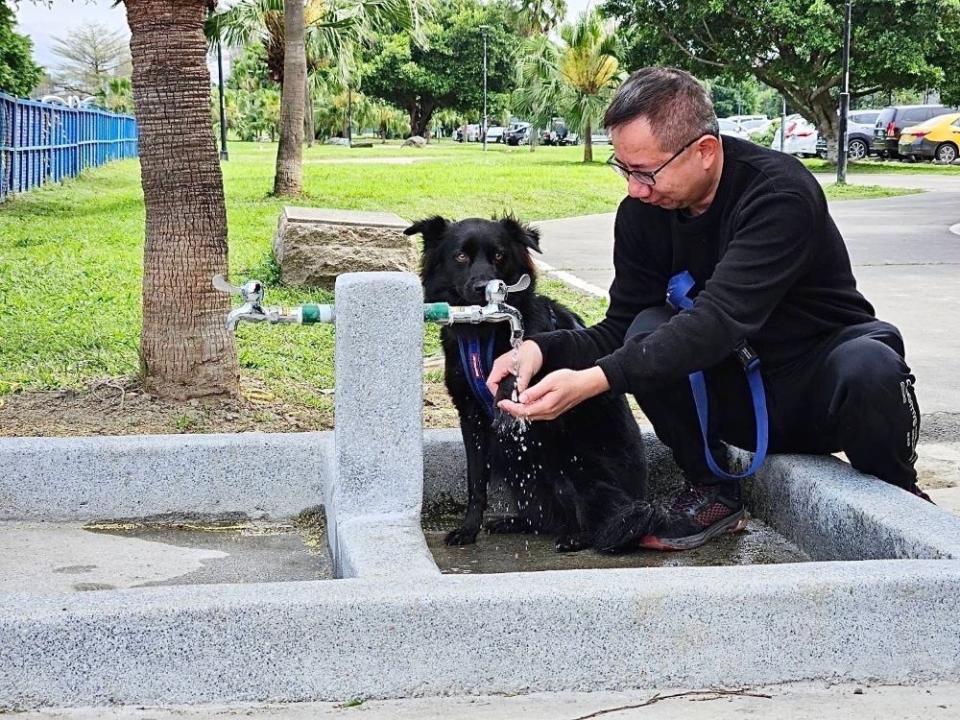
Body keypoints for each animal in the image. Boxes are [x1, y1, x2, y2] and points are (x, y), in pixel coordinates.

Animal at [406, 214, 652, 552]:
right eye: (461, 256)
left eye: (499, 255)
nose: (483, 288)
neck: (482, 335)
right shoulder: (469, 416)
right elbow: (475, 483)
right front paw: (468, 530)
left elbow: (515, 369)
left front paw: (505, 392)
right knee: (544, 514)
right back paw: (515, 522)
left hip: (571, 463)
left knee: (605, 517)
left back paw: (579, 537)